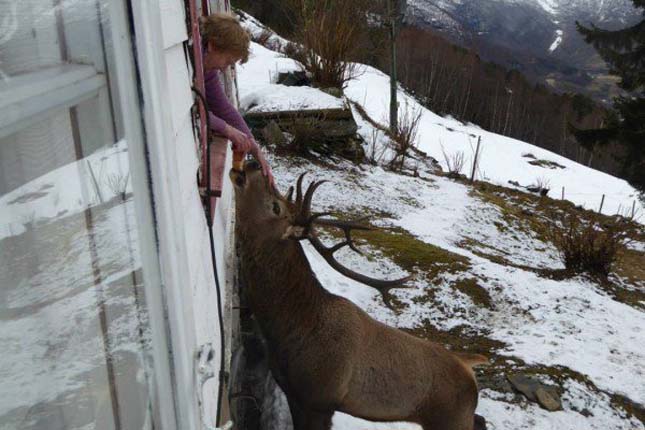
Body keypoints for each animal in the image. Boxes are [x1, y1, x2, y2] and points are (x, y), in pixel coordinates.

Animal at [229, 160, 486, 428]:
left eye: (275, 206)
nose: (253, 163)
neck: (288, 329)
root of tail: (469, 364)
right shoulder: (292, 393)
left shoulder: (318, 400)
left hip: (451, 418)